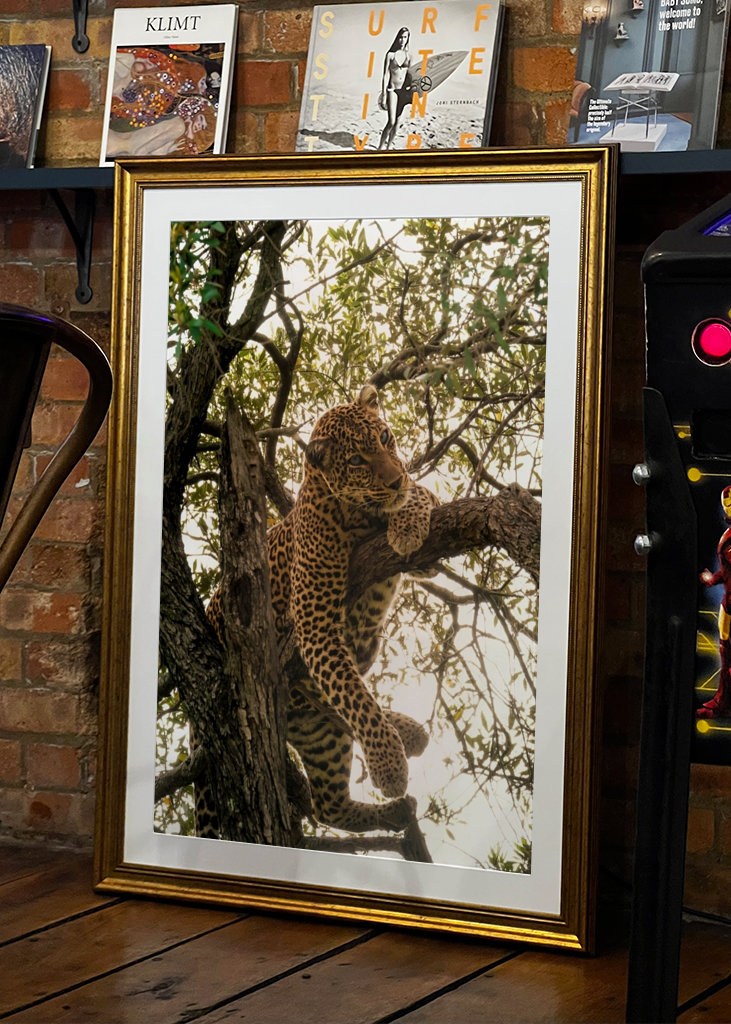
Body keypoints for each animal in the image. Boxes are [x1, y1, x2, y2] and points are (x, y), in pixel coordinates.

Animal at [198, 384, 438, 837]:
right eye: (357, 460)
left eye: (384, 437)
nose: (394, 478)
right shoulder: (315, 627)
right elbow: (356, 698)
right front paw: (387, 764)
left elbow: (418, 496)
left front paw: (406, 525)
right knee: (330, 786)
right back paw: (401, 747)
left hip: (319, 736)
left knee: (329, 805)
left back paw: (403, 766)